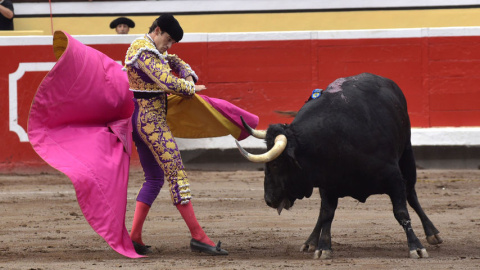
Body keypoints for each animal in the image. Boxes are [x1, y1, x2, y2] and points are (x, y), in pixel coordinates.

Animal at [236, 73, 442, 258]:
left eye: (277, 164)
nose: (269, 199)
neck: (339, 137)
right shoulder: (328, 183)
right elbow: (327, 213)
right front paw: (323, 248)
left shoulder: (394, 177)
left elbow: (401, 211)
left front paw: (416, 247)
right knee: (322, 213)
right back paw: (310, 242)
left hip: (407, 154)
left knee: (411, 194)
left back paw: (432, 233)